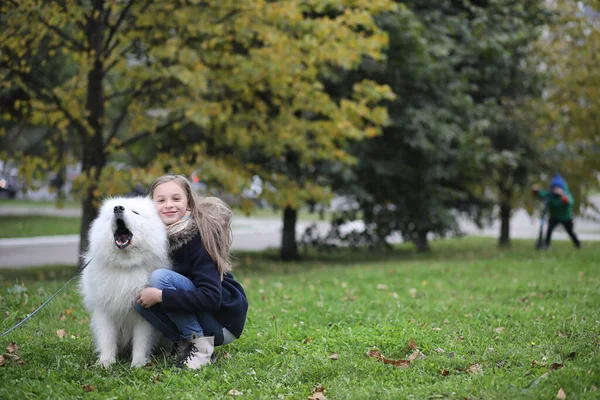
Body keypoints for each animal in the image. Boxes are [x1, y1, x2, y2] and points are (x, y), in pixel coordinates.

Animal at [79, 195, 169, 368]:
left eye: (135, 212)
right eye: (112, 211)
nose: (118, 208)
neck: (126, 266)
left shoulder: (143, 314)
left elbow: (141, 341)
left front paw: (138, 364)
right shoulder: (105, 310)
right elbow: (107, 338)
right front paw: (105, 362)